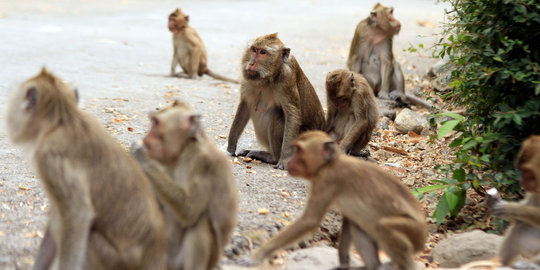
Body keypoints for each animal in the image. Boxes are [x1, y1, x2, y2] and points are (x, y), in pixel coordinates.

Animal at [130, 100, 236, 270]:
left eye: (155, 123)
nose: (146, 138)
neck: (182, 153)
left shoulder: (202, 165)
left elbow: (189, 210)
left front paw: (141, 154)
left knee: (200, 221)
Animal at [227, 33, 324, 169]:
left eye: (263, 52)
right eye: (254, 50)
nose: (251, 63)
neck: (268, 78)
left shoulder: (286, 78)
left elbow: (292, 114)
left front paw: (284, 159)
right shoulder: (248, 78)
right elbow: (245, 106)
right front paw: (230, 147)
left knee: (277, 114)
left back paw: (272, 157)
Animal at [243, 130, 428, 268]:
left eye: (298, 150)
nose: (289, 161)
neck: (329, 164)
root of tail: (424, 234)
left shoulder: (326, 180)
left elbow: (309, 221)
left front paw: (258, 254)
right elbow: (348, 220)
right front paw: (343, 263)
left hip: (414, 232)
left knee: (384, 226)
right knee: (358, 224)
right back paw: (374, 266)